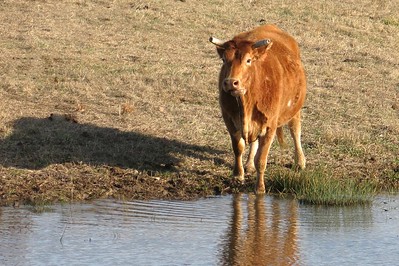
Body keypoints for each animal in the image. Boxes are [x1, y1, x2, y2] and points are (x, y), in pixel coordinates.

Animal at [211, 24, 308, 193]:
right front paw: (238, 175)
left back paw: (300, 162)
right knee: (253, 143)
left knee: (295, 131)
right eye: (224, 60)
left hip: (295, 110)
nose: (230, 82)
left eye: (248, 60)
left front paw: (260, 188)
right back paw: (249, 165)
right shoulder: (229, 119)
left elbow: (261, 160)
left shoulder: (270, 126)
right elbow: (238, 148)